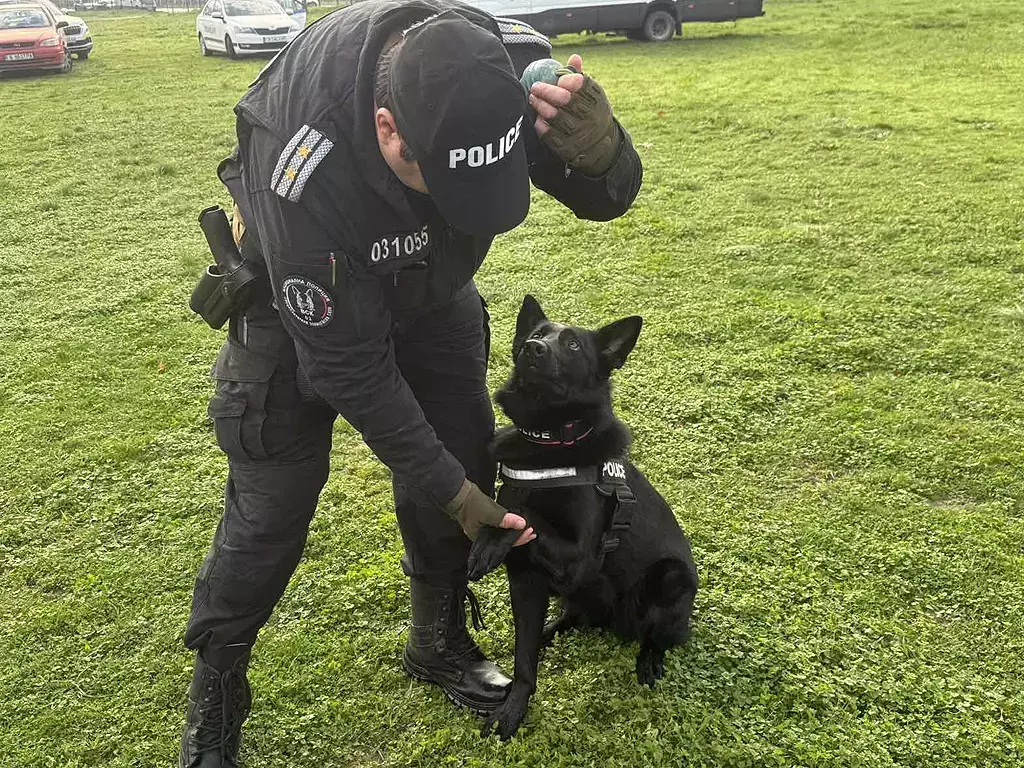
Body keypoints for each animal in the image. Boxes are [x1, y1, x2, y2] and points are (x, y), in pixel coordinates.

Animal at [468, 295, 699, 739]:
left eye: (573, 344)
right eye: (537, 334)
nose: (532, 349)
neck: (551, 442)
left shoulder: (578, 559)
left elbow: (523, 512)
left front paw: (490, 538)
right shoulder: (526, 580)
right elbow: (524, 662)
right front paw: (514, 707)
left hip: (671, 579)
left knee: (661, 635)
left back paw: (649, 657)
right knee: (574, 616)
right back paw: (549, 632)